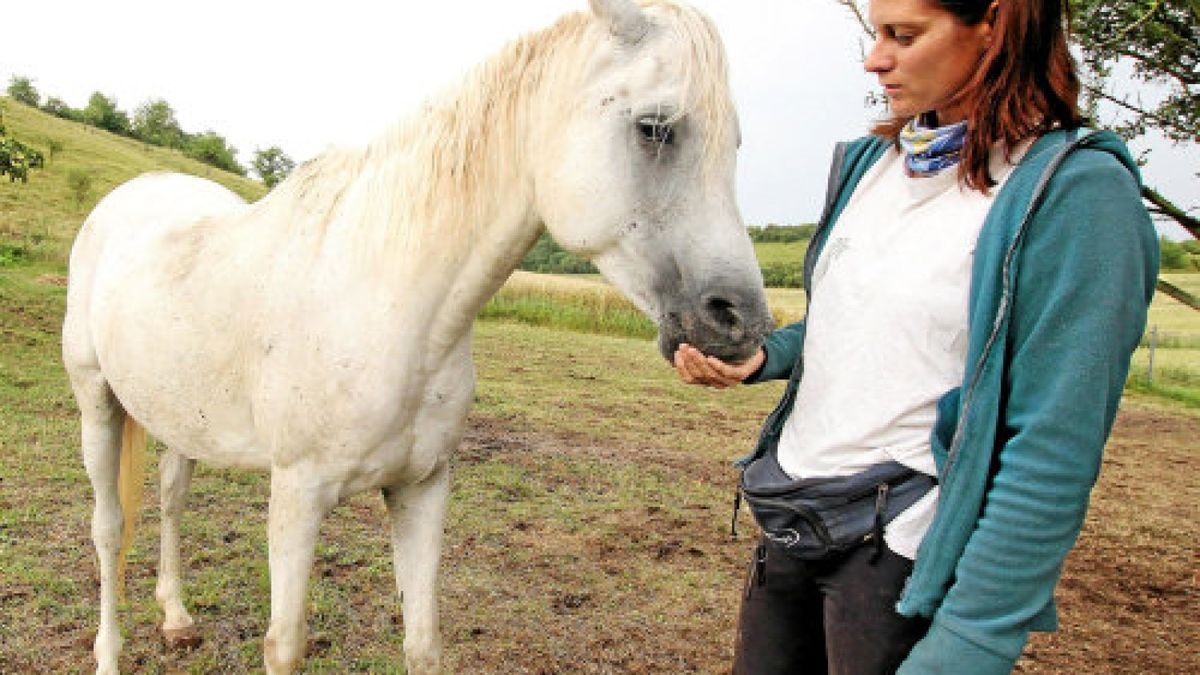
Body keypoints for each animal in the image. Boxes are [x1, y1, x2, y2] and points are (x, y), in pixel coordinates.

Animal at [60, 2, 772, 667]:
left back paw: (177, 618)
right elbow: (284, 645)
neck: (390, 306)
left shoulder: (422, 487)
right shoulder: (297, 495)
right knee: (108, 526)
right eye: (655, 128)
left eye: (739, 143)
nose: (742, 322)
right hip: (99, 402)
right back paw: (109, 654)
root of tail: (136, 191)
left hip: (179, 414)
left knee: (172, 496)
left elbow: (424, 642)